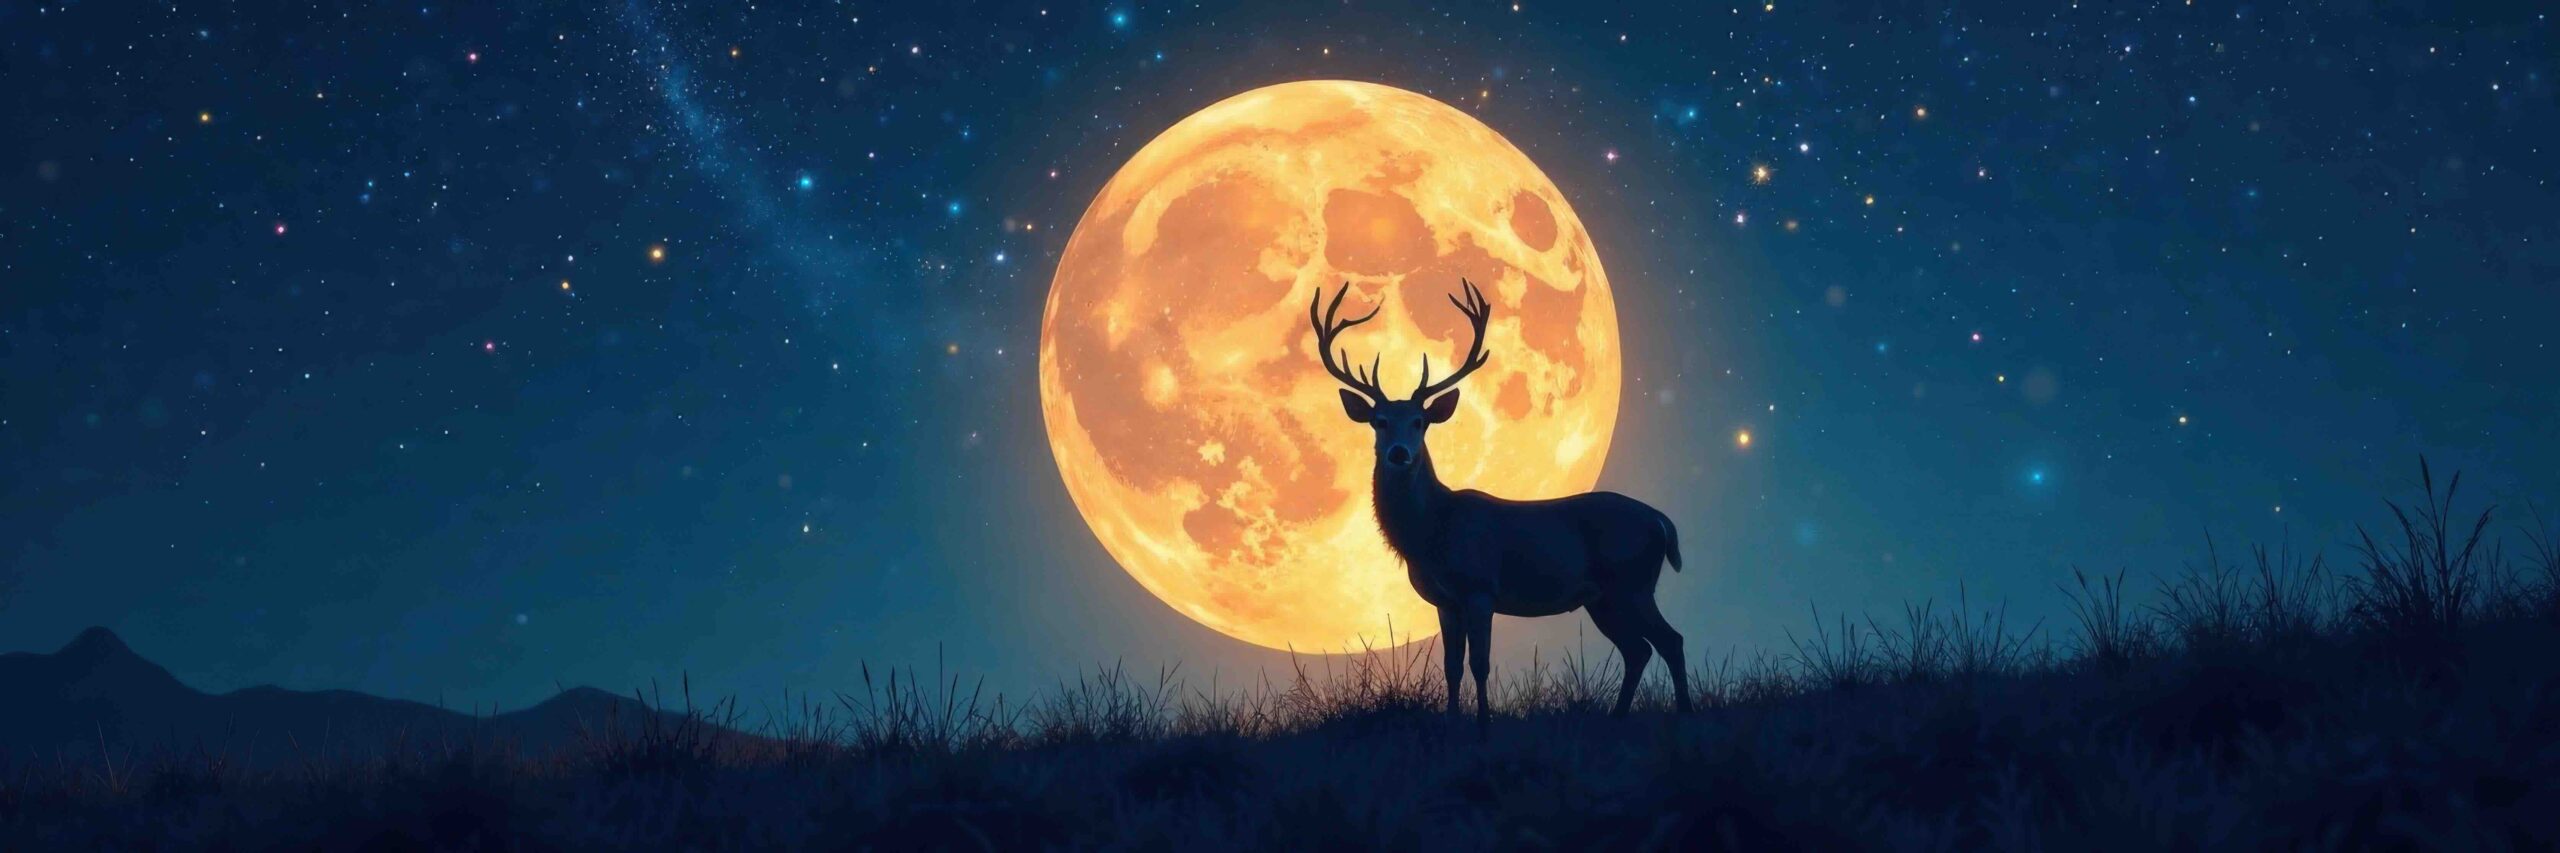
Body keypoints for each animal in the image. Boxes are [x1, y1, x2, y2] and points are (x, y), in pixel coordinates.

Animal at [1309, 279, 1692, 733]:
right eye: (1379, 421)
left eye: (1420, 422)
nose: (1399, 453)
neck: (1433, 532)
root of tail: (1661, 520)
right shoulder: (1445, 602)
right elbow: (1451, 667)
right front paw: (1453, 723)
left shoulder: (1480, 588)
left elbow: (1480, 664)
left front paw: (1483, 726)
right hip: (1602, 597)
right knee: (1639, 649)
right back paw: (1618, 718)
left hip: (1632, 582)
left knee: (1670, 640)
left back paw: (1686, 713)